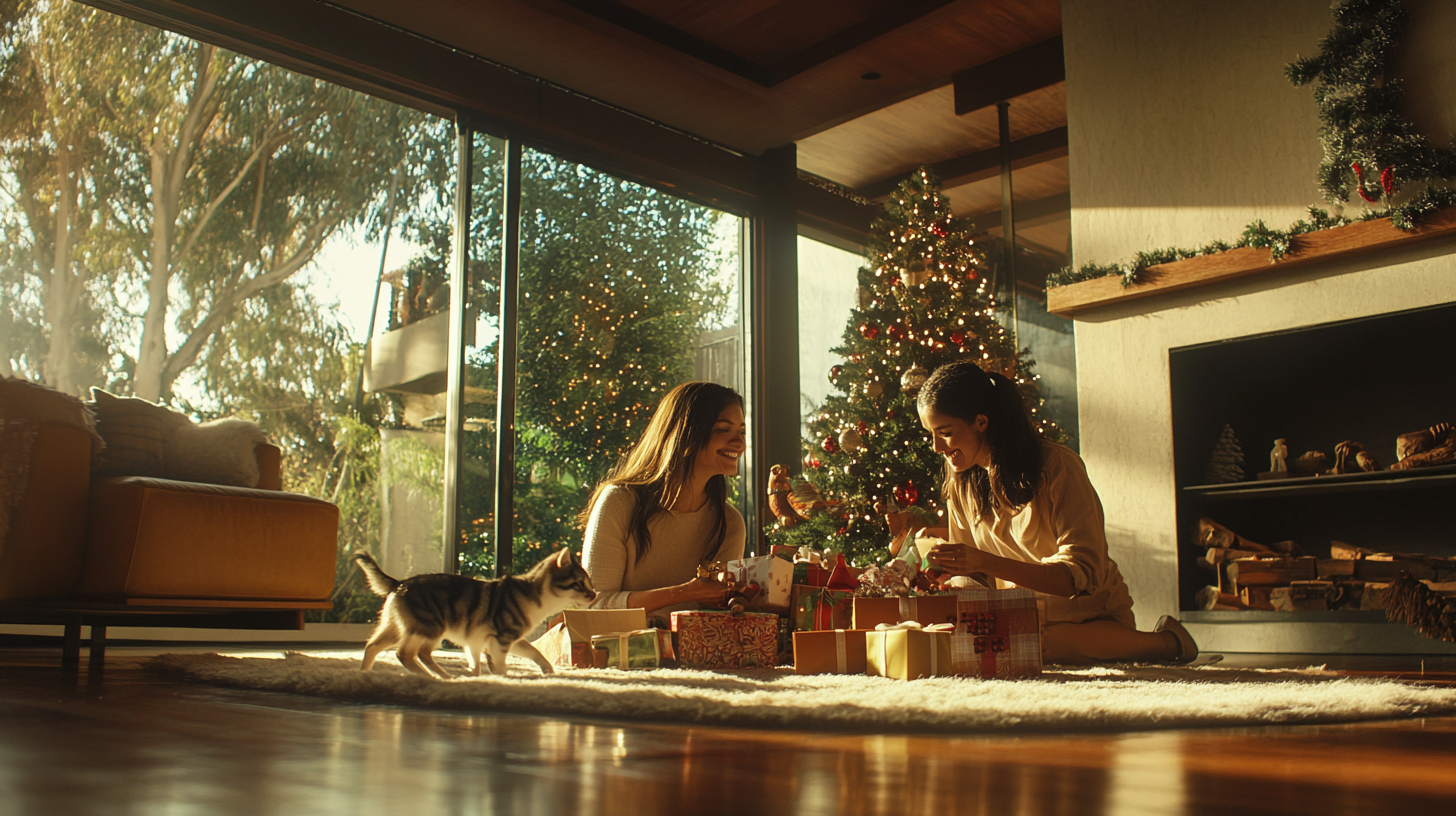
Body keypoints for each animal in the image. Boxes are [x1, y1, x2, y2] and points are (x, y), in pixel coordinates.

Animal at [352, 547, 596, 681]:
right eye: (579, 584)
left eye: (589, 583)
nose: (594, 595)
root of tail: (399, 583)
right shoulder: (502, 638)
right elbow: (500, 664)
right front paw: (504, 678)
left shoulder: (502, 640)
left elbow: (533, 652)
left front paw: (548, 670)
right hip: (430, 628)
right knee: (410, 654)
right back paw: (440, 677)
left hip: (396, 628)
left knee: (372, 646)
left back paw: (364, 673)